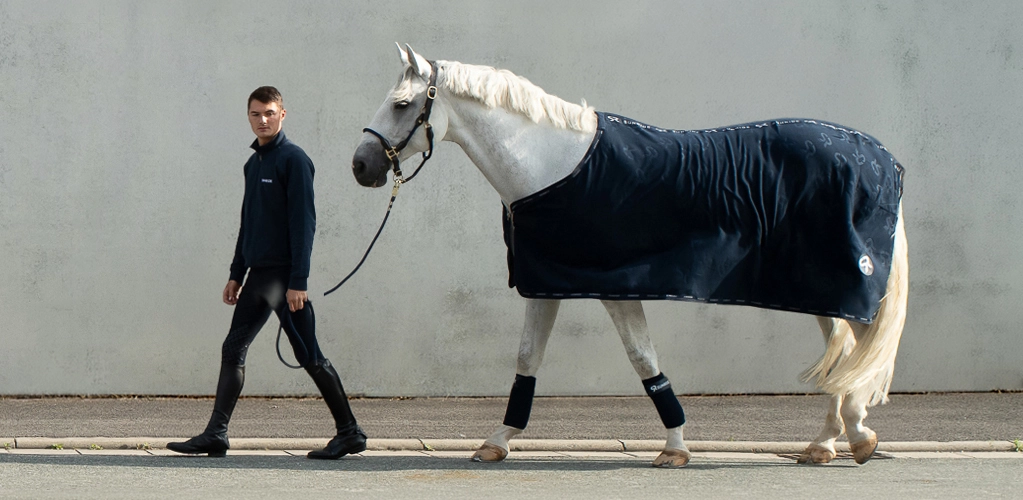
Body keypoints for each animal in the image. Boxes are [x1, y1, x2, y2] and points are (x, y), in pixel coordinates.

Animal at [350, 44, 909, 468]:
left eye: (401, 104)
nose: (361, 166)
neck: (554, 168)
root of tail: (879, 157)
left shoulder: (614, 288)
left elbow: (645, 361)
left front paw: (675, 449)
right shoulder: (548, 282)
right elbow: (528, 358)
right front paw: (497, 442)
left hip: (835, 287)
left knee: (849, 350)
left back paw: (852, 436)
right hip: (820, 289)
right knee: (842, 351)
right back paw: (830, 443)